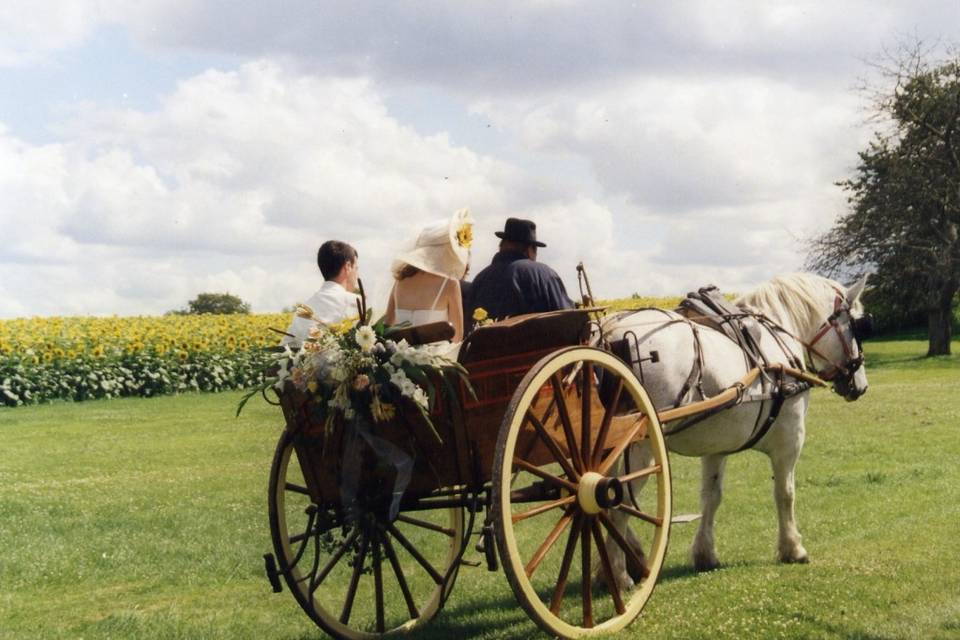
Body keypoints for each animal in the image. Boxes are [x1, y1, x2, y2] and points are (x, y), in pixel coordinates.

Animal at [604, 272, 872, 588]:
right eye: (856, 325)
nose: (860, 385)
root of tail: (609, 331)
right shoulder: (790, 440)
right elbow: (785, 493)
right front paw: (792, 548)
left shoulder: (715, 448)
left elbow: (711, 497)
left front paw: (705, 553)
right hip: (641, 445)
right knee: (615, 500)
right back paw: (619, 576)